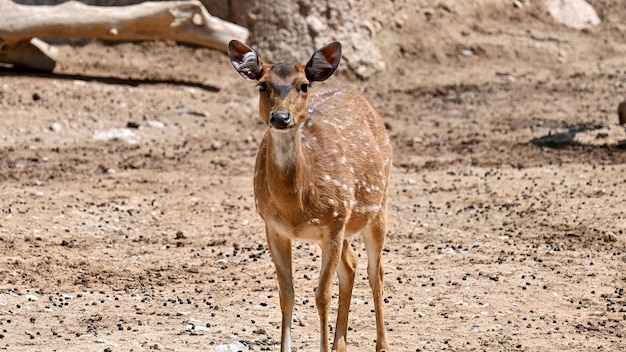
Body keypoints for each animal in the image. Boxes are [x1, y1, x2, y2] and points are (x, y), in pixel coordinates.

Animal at [227, 40, 390, 350]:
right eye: (262, 85)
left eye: (303, 85)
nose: (280, 117)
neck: (294, 207)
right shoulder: (273, 227)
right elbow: (286, 294)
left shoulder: (334, 222)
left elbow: (322, 295)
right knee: (351, 264)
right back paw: (341, 344)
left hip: (377, 206)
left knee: (375, 272)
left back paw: (382, 345)